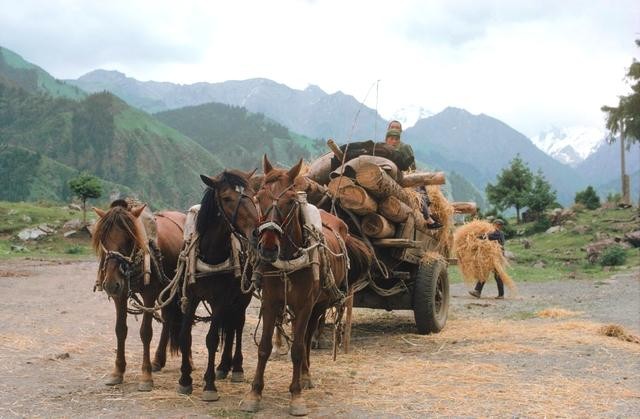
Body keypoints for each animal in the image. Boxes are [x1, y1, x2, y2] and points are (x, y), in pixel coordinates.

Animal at [91, 200, 185, 390]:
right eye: (103, 238)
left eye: (129, 238)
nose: (110, 284)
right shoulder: (120, 295)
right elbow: (120, 330)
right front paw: (118, 372)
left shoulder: (150, 295)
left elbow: (145, 332)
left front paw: (146, 376)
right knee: (168, 318)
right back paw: (158, 360)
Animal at [172, 171, 260, 404]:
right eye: (227, 198)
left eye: (252, 195)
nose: (257, 232)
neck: (211, 253)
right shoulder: (192, 297)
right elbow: (185, 336)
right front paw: (185, 379)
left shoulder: (222, 298)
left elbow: (211, 339)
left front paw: (210, 385)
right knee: (228, 327)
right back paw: (223, 366)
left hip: (241, 298)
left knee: (237, 325)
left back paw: (235, 367)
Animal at [240, 158, 370, 416]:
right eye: (259, 197)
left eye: (291, 201)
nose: (268, 248)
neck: (288, 260)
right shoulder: (271, 303)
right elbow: (264, 347)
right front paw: (255, 393)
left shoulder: (304, 306)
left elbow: (298, 349)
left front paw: (296, 395)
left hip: (318, 305)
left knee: (308, 338)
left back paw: (305, 375)